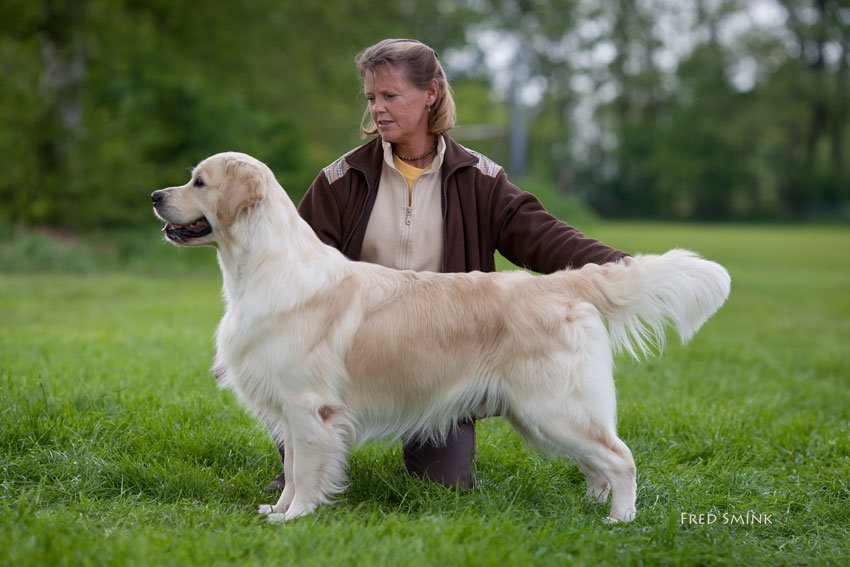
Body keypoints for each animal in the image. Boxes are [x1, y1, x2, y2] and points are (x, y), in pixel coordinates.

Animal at [151, 151, 728, 524]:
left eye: (198, 182)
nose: (155, 195)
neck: (264, 266)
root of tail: (564, 281)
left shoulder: (308, 407)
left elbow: (308, 470)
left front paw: (294, 517)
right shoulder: (291, 412)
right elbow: (291, 467)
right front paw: (278, 507)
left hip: (555, 407)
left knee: (621, 457)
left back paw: (620, 520)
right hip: (542, 417)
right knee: (598, 463)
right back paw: (593, 506)